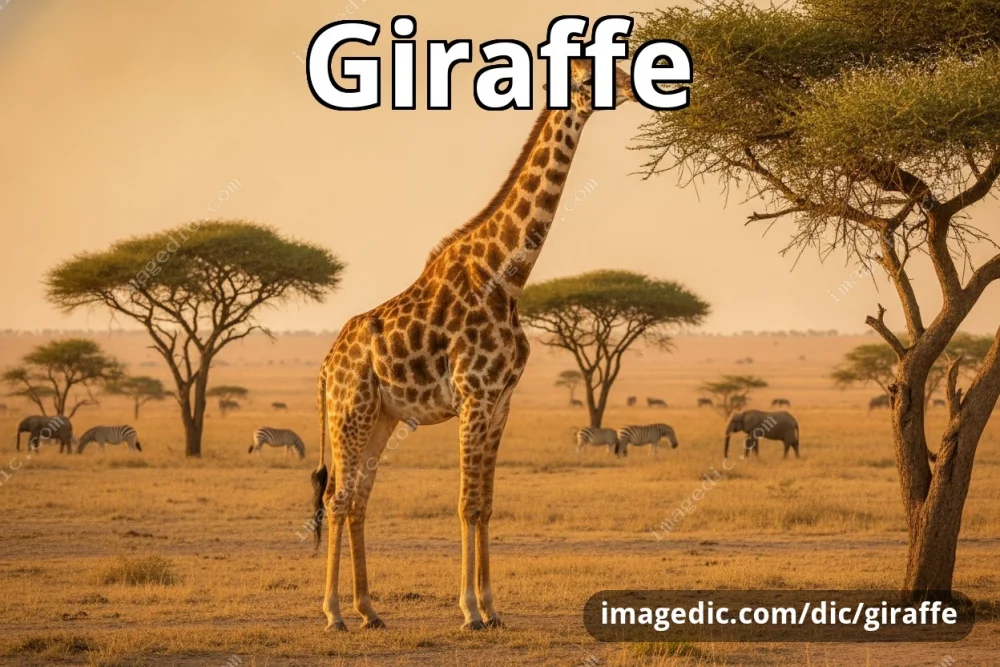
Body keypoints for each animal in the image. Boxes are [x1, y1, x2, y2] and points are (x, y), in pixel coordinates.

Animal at [312, 60, 636, 632]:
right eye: (587, 74)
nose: (634, 87)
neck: (506, 277)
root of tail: (327, 368)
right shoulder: (474, 395)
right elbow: (466, 503)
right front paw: (468, 610)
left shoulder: (502, 399)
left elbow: (485, 503)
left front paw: (491, 607)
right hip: (349, 412)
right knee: (337, 496)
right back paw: (333, 613)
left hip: (382, 417)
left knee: (361, 500)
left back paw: (369, 610)